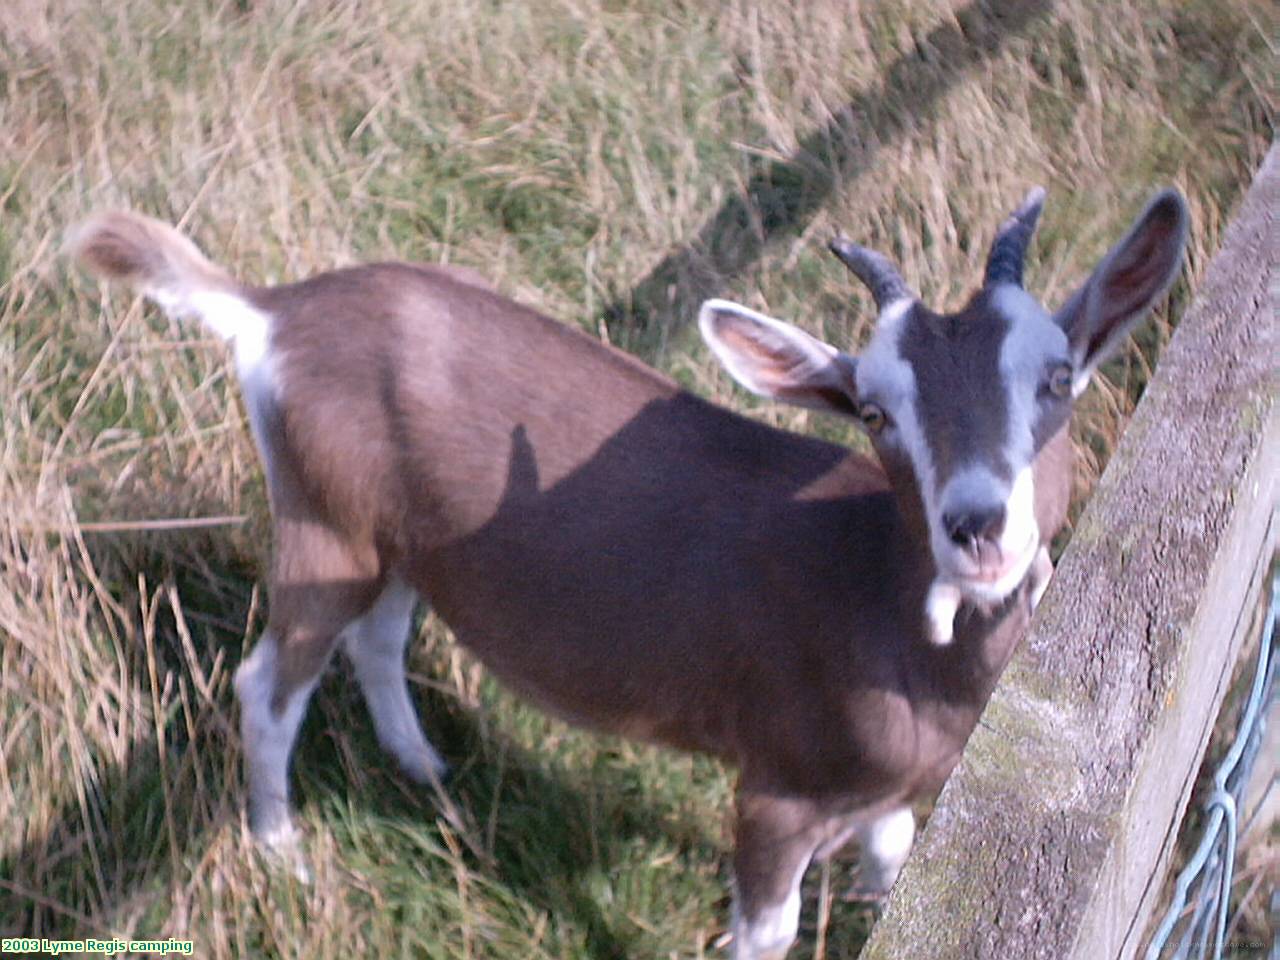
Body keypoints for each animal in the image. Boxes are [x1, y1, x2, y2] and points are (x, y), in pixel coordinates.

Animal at [70, 189, 1182, 960]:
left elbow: (897, 864)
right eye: (872, 412)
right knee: (268, 681)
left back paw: (424, 768)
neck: (879, 598)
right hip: (324, 524)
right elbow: (765, 932)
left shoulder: (895, 790)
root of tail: (274, 311)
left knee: (379, 636)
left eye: (1058, 378)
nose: (975, 527)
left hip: (401, 541)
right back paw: (282, 854)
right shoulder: (776, 790)